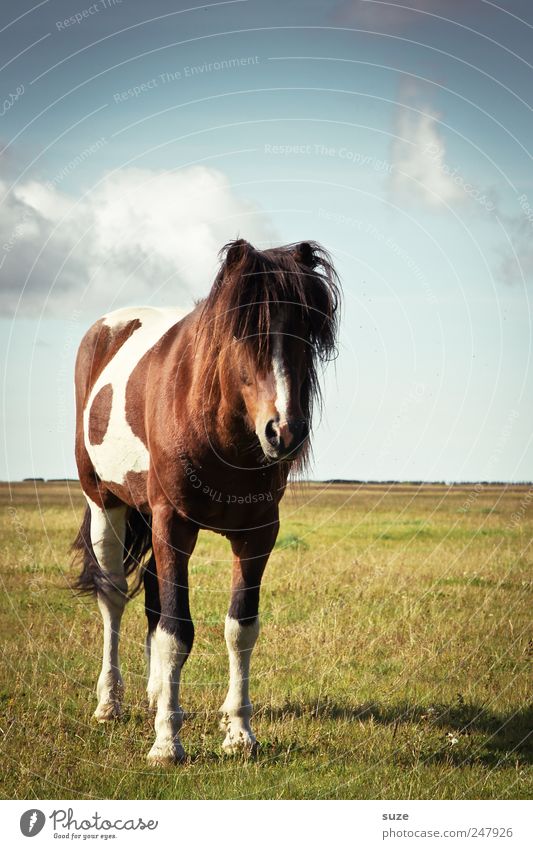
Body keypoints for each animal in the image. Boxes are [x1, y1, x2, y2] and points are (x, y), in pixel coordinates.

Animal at [70, 237, 338, 760]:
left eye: (304, 330)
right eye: (243, 333)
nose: (284, 432)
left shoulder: (258, 534)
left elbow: (239, 628)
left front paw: (240, 733)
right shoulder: (174, 524)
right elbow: (178, 632)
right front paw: (166, 743)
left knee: (152, 600)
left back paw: (156, 693)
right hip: (105, 505)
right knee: (113, 597)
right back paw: (110, 702)